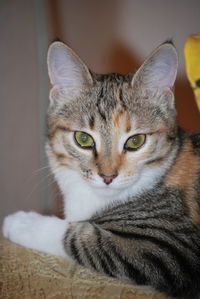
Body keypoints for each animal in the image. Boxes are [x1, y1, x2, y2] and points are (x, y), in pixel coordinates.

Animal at [2, 40, 200, 299]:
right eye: (83, 139)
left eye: (136, 141)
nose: (107, 176)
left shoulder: (169, 249)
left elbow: (82, 239)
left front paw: (22, 222)